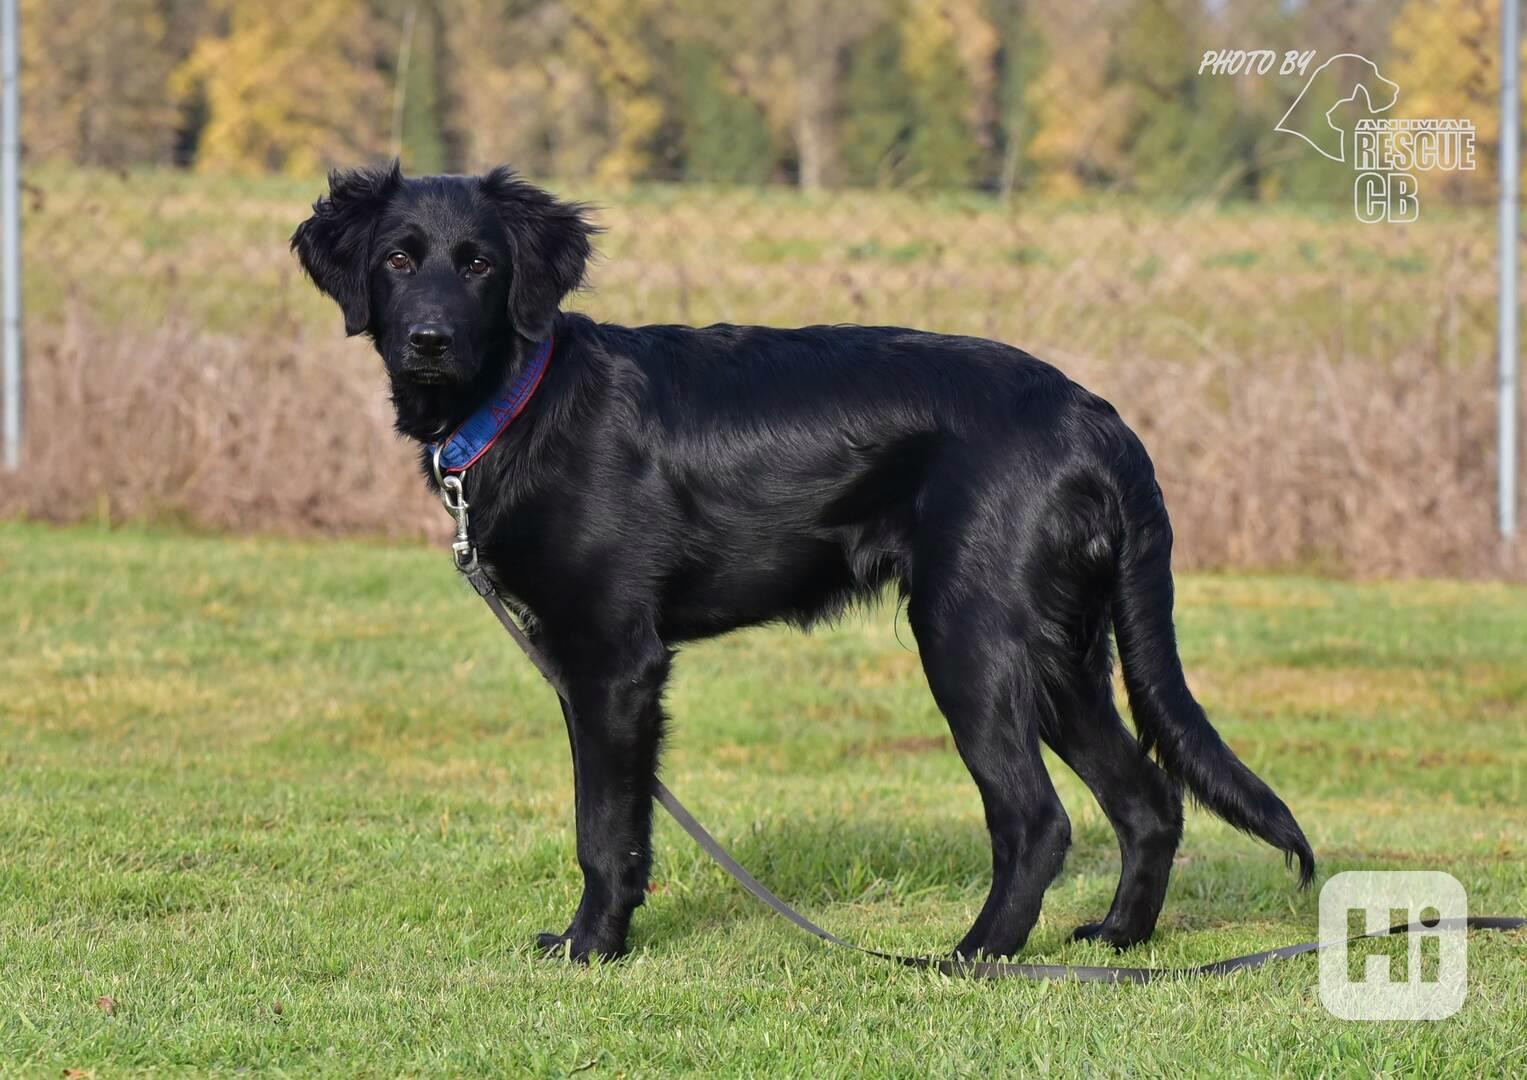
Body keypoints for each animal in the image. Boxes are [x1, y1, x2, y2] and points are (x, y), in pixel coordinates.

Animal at [291, 166, 1319, 965]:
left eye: (479, 265)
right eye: (397, 259)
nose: (428, 341)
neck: (524, 399)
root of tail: (1098, 418)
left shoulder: (614, 662)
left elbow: (603, 828)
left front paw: (591, 948)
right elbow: (624, 826)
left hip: (970, 639)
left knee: (1037, 819)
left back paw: (973, 955)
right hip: (1059, 653)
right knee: (1146, 800)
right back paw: (1115, 941)